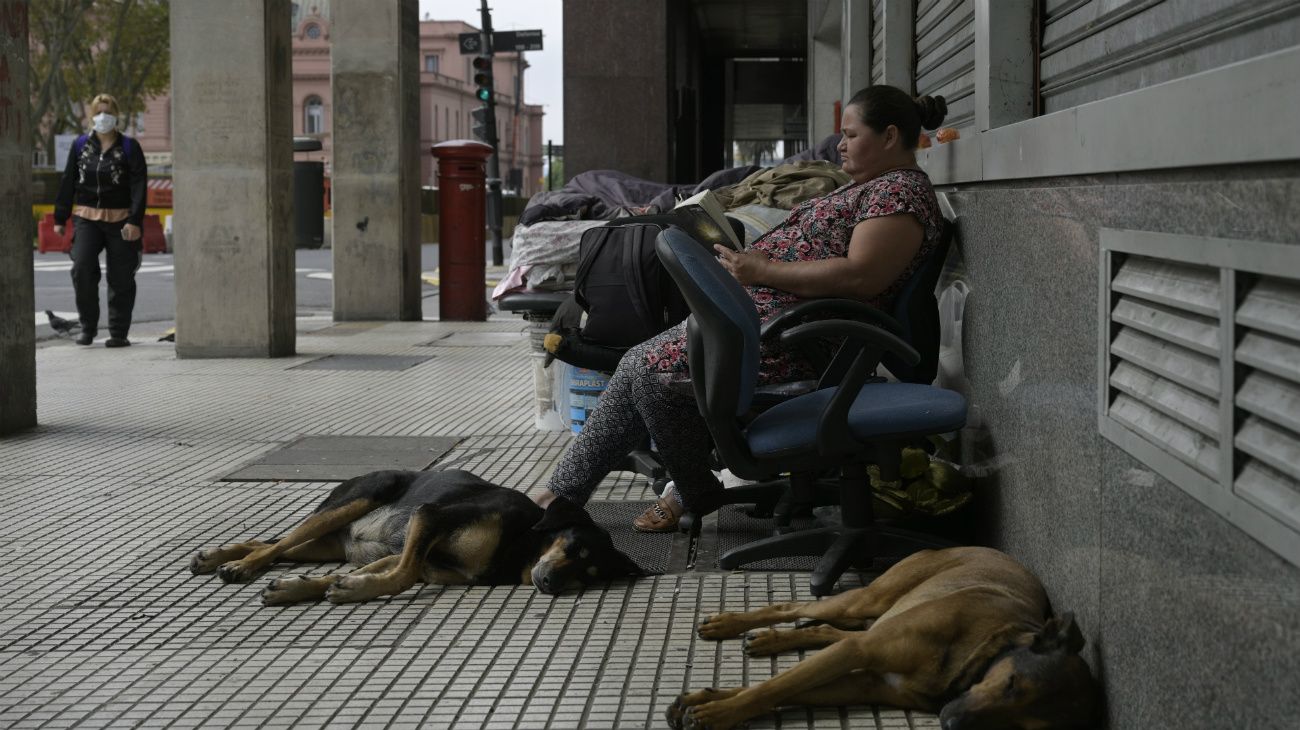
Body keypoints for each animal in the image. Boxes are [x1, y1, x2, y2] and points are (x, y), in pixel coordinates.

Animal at [189, 465, 644, 602]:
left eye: (586, 577)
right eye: (573, 546)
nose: (550, 583)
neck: (520, 547)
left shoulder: (421, 557)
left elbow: (388, 571)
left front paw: (309, 588)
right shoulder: (429, 517)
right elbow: (402, 575)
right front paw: (350, 591)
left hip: (328, 542)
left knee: (279, 544)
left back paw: (220, 557)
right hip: (362, 496)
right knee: (279, 542)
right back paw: (238, 566)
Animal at [670, 545, 1097, 727]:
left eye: (1024, 728)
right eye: (1011, 683)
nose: (953, 723)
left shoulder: (866, 684)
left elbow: (784, 689)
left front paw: (706, 701)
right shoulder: (859, 651)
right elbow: (775, 687)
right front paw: (716, 712)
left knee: (825, 629)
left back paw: (772, 640)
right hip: (869, 599)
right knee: (794, 607)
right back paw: (729, 624)